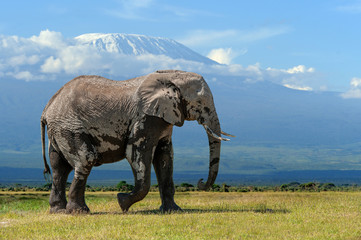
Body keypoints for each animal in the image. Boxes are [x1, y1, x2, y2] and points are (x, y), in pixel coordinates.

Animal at [40, 70, 232, 214]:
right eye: (201, 103)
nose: (200, 181)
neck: (171, 76)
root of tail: (47, 109)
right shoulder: (145, 118)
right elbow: (136, 153)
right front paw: (122, 202)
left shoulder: (164, 119)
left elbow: (165, 158)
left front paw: (173, 211)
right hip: (69, 127)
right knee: (85, 159)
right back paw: (79, 212)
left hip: (58, 131)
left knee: (59, 168)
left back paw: (58, 211)